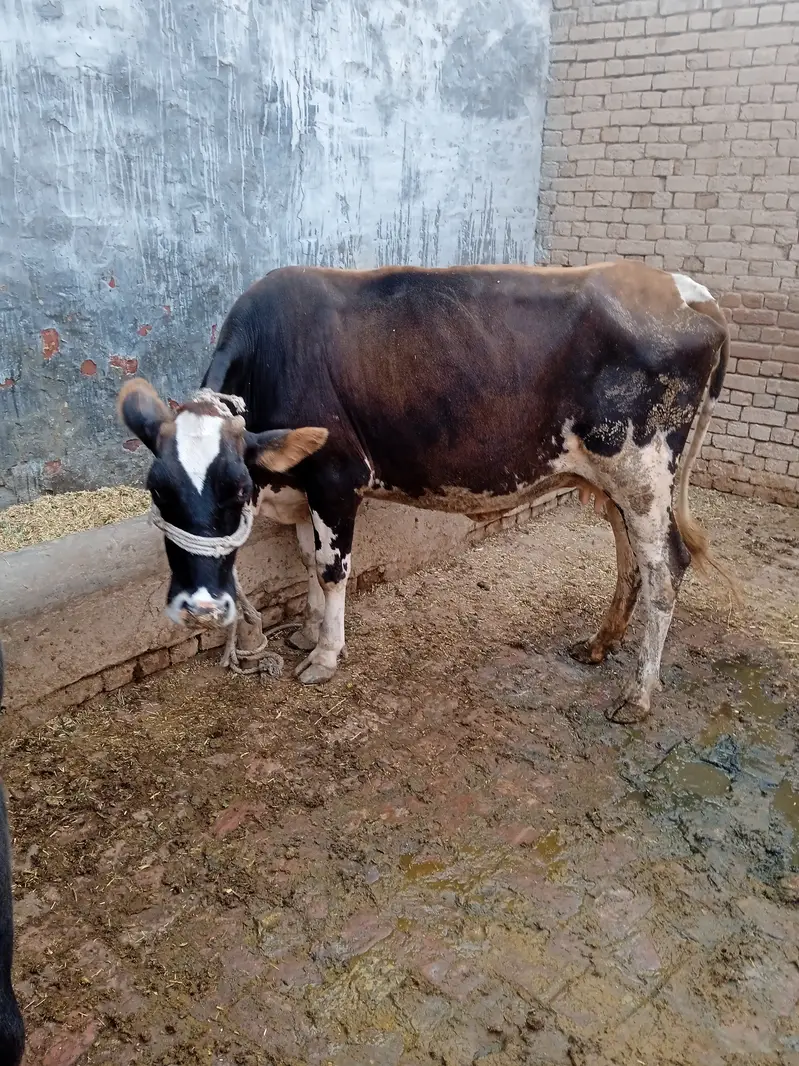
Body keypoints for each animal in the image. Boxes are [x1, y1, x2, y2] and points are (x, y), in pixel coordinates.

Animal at [119, 261, 732, 723]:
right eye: (158, 492)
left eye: (236, 487)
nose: (200, 609)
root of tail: (684, 288)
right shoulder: (302, 489)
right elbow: (307, 560)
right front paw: (308, 633)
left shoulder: (336, 479)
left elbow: (330, 569)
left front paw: (325, 655)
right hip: (619, 482)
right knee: (631, 560)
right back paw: (599, 644)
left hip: (643, 471)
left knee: (665, 568)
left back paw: (638, 695)